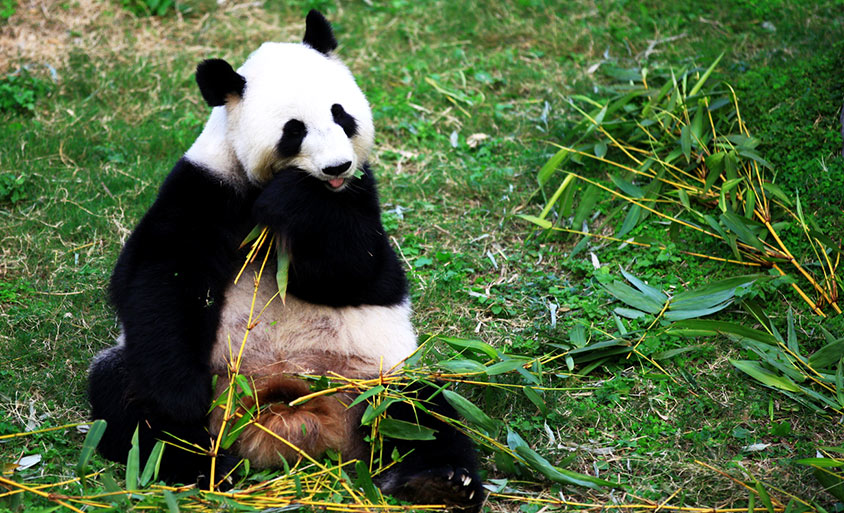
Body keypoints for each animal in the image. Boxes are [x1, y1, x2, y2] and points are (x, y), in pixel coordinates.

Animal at [88, 10, 484, 510]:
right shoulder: (205, 185)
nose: (336, 167)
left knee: (419, 408)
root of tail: (294, 419)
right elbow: (158, 275)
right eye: (294, 130)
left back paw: (438, 480)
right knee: (127, 402)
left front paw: (296, 201)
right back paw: (198, 464)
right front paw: (182, 397)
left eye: (341, 114)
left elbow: (360, 271)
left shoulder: (360, 193)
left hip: (372, 376)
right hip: (186, 379)